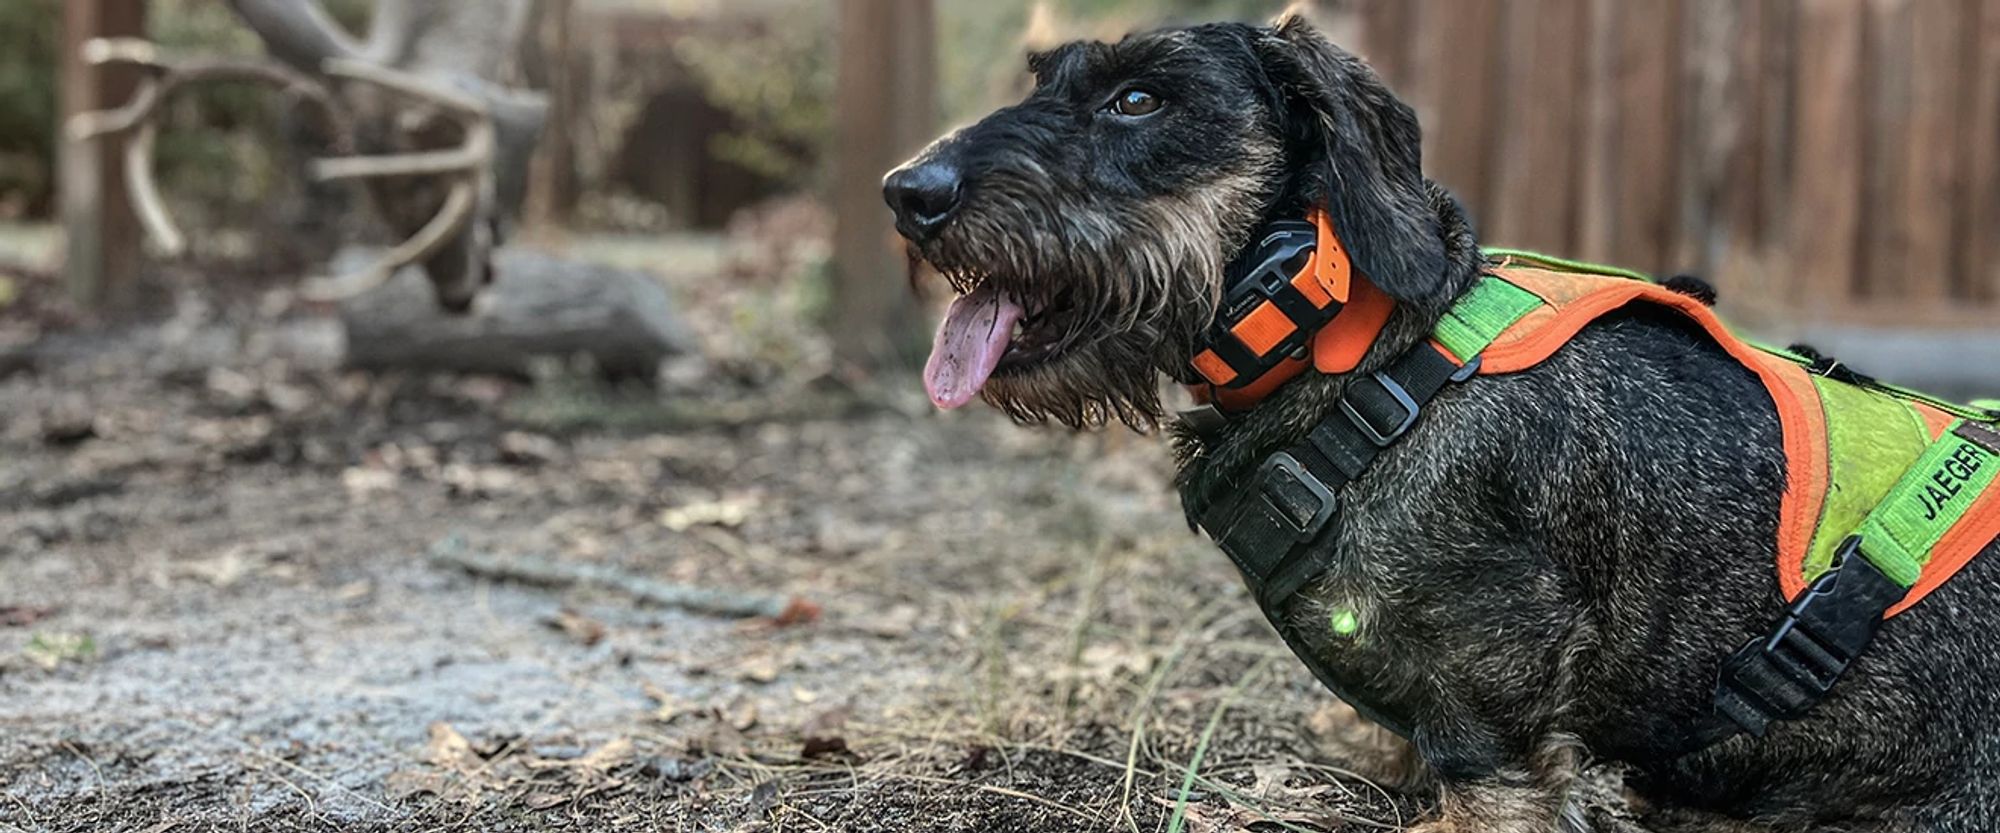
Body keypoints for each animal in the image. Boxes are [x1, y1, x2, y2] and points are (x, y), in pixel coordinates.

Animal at [884, 13, 1992, 832]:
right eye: (1042, 83)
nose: (904, 191)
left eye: (1137, 99)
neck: (1357, 352)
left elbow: (1481, 773)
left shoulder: (1497, 680)